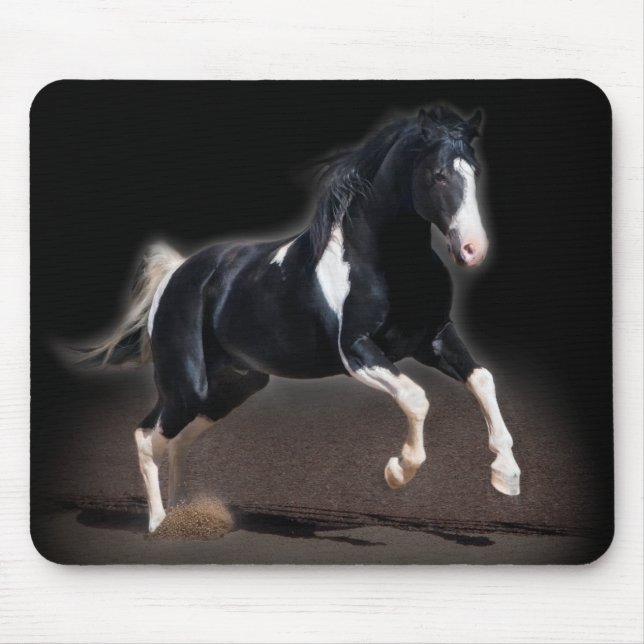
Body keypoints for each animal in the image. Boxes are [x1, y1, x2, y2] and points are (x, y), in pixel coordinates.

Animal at [79, 105, 521, 533]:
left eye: (475, 172)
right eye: (438, 174)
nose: (473, 250)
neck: (381, 262)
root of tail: (175, 273)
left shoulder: (434, 339)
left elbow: (483, 379)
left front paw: (506, 476)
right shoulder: (357, 352)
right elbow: (416, 397)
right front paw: (397, 472)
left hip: (230, 387)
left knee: (176, 441)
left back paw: (181, 515)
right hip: (186, 386)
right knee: (146, 437)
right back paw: (158, 525)